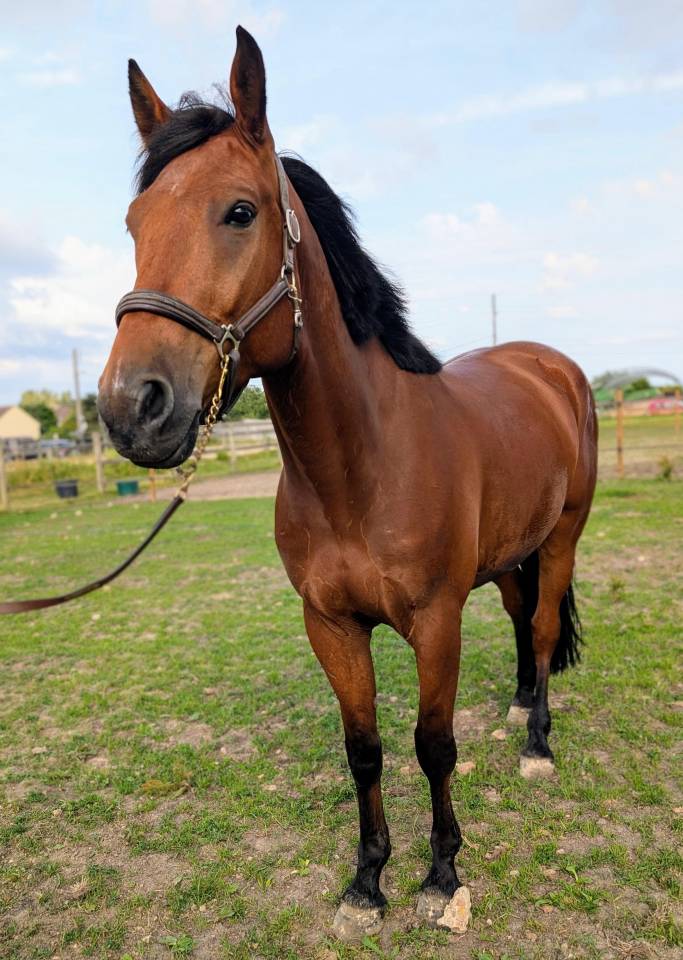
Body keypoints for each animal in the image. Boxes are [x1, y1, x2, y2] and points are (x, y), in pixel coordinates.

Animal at [97, 27, 598, 939]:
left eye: (240, 211)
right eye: (133, 223)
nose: (132, 408)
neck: (362, 470)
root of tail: (549, 366)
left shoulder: (436, 620)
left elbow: (432, 745)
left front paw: (441, 874)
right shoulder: (328, 624)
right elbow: (363, 748)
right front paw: (367, 882)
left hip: (564, 536)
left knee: (544, 629)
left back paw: (537, 742)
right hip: (511, 553)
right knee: (521, 621)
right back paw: (516, 707)